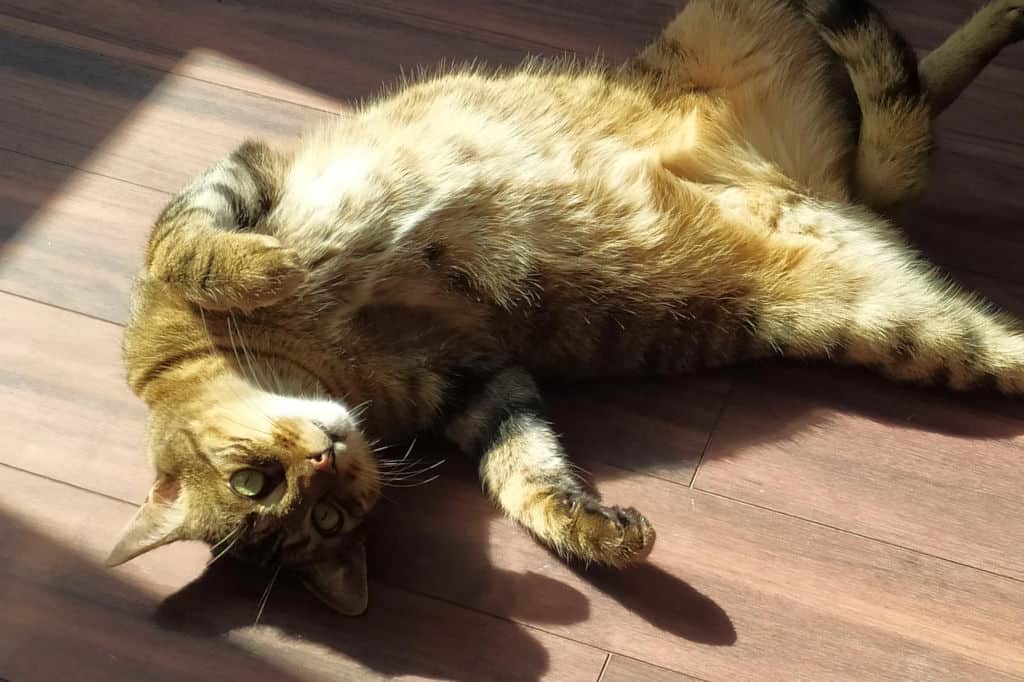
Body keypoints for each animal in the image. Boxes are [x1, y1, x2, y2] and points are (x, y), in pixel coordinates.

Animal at [105, 0, 1024, 614]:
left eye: (252, 481)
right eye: (321, 517)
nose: (329, 458)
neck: (327, 365)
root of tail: (825, 188)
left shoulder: (237, 176)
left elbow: (191, 248)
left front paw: (275, 264)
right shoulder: (479, 382)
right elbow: (527, 476)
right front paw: (596, 533)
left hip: (735, 15)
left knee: (892, 66)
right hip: (909, 332)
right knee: (910, 118)